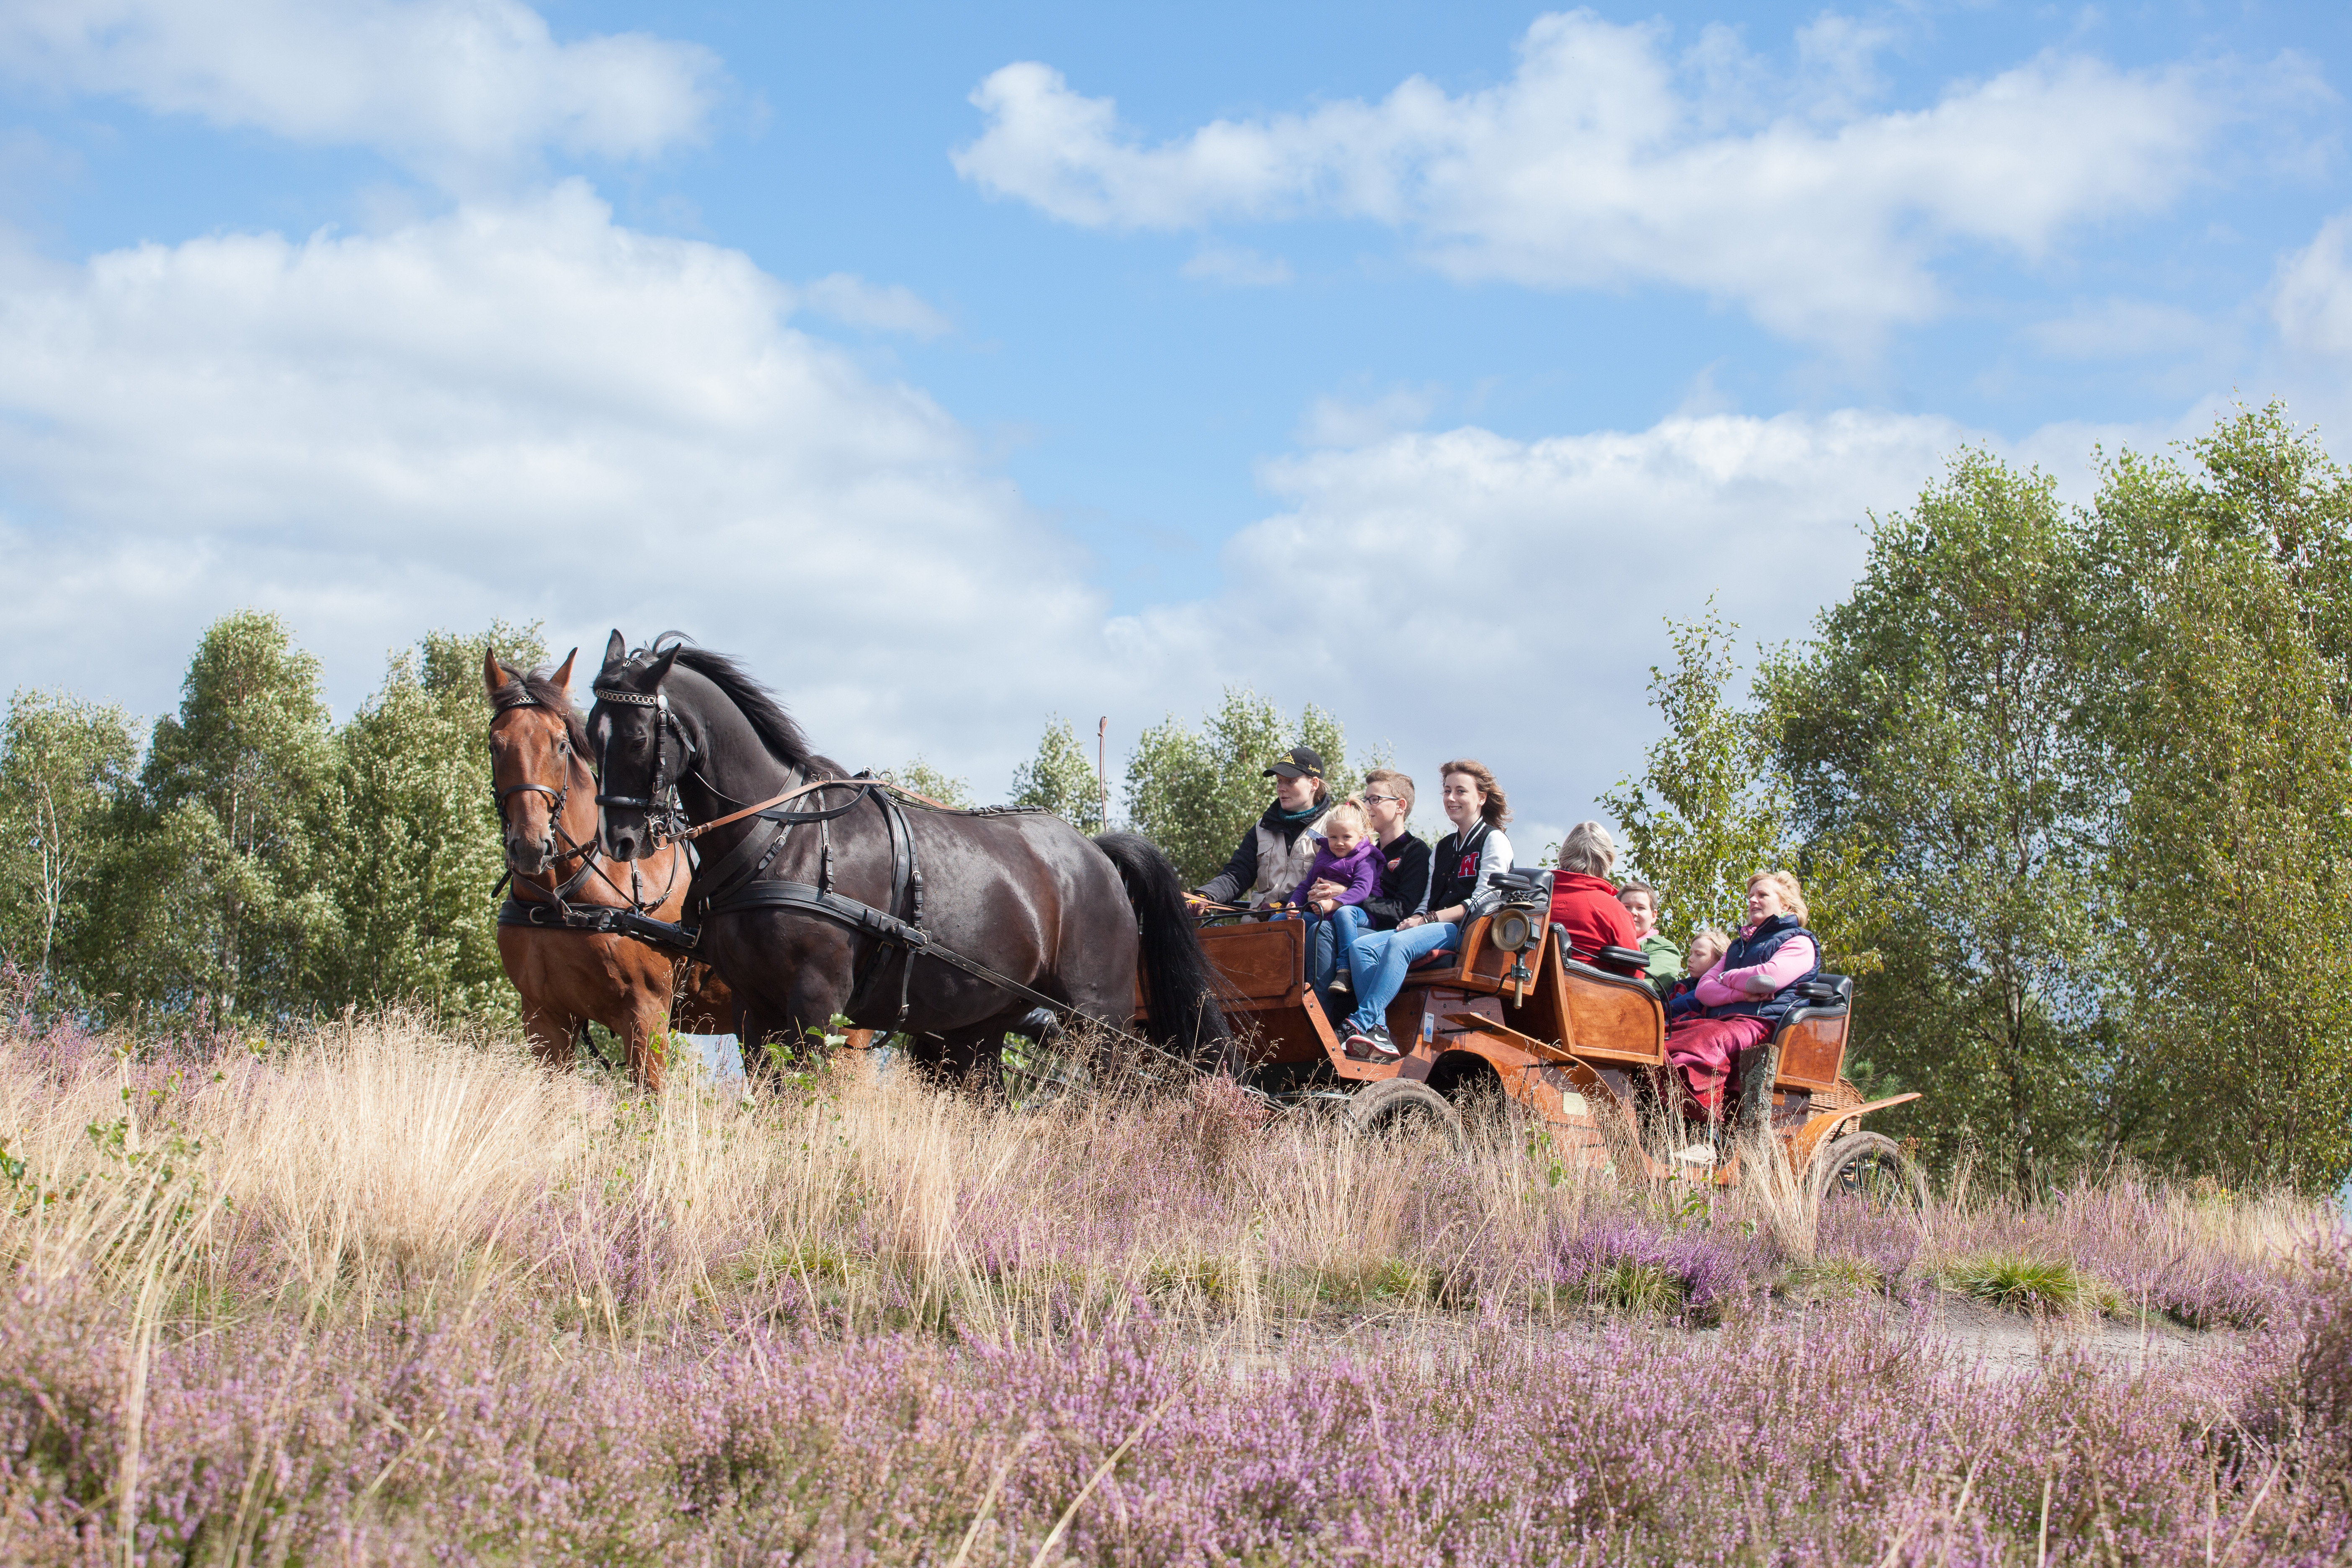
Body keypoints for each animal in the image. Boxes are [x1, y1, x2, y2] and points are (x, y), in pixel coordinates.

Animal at [482, 644, 729, 1086]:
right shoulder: (544, 1018)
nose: (529, 845)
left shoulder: (647, 1015)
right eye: (496, 745)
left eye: (561, 745)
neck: (563, 898)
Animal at [588, 630, 1232, 1086]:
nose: (620, 842)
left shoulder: (816, 1001)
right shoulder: (753, 1005)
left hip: (1099, 1021)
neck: (780, 841)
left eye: (639, 737)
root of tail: (1096, 854)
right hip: (978, 1029)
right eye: (593, 734)